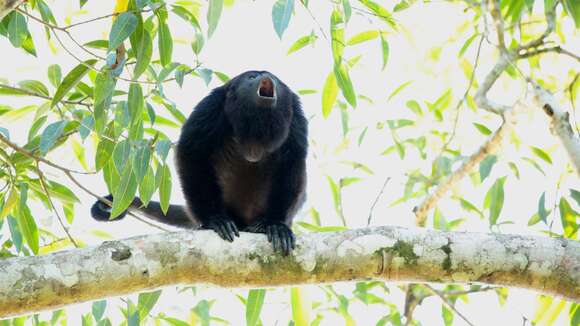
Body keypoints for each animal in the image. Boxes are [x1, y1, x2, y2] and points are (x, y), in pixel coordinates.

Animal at [89, 70, 308, 255]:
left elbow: (292, 163)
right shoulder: (211, 105)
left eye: (276, 79)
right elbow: (191, 152)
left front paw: (276, 225)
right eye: (252, 76)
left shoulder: (297, 116)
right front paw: (214, 220)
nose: (266, 76)